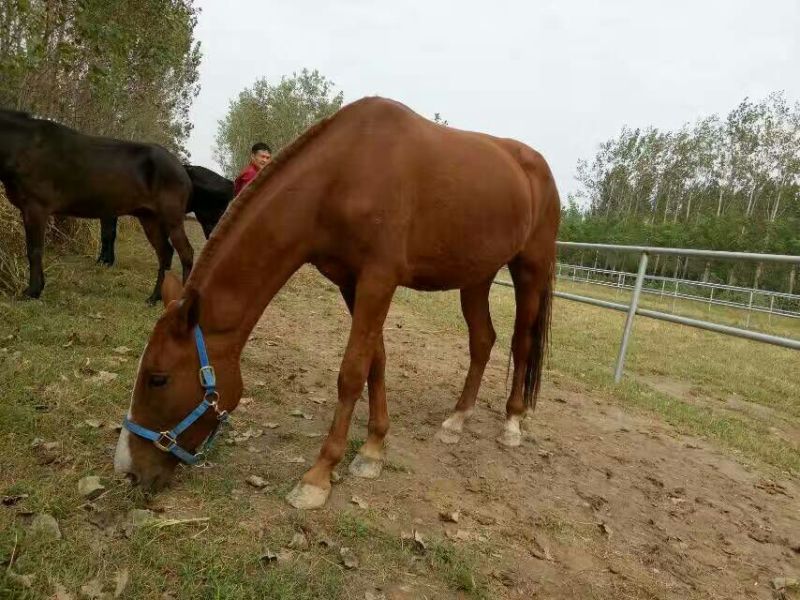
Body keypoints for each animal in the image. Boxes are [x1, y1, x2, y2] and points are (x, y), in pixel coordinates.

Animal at [0, 109, 193, 302]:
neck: (22, 147)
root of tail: (181, 168)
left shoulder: (36, 208)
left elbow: (34, 250)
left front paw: (32, 291)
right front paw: (38, 288)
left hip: (172, 218)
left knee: (186, 253)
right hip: (149, 218)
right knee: (165, 253)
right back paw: (154, 297)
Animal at [114, 97, 560, 510]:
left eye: (158, 378)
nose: (129, 470)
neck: (342, 174)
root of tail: (538, 167)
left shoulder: (378, 280)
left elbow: (351, 372)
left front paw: (319, 475)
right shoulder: (351, 282)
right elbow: (376, 360)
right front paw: (374, 448)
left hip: (530, 271)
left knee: (521, 344)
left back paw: (512, 423)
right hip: (477, 277)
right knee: (482, 340)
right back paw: (457, 419)